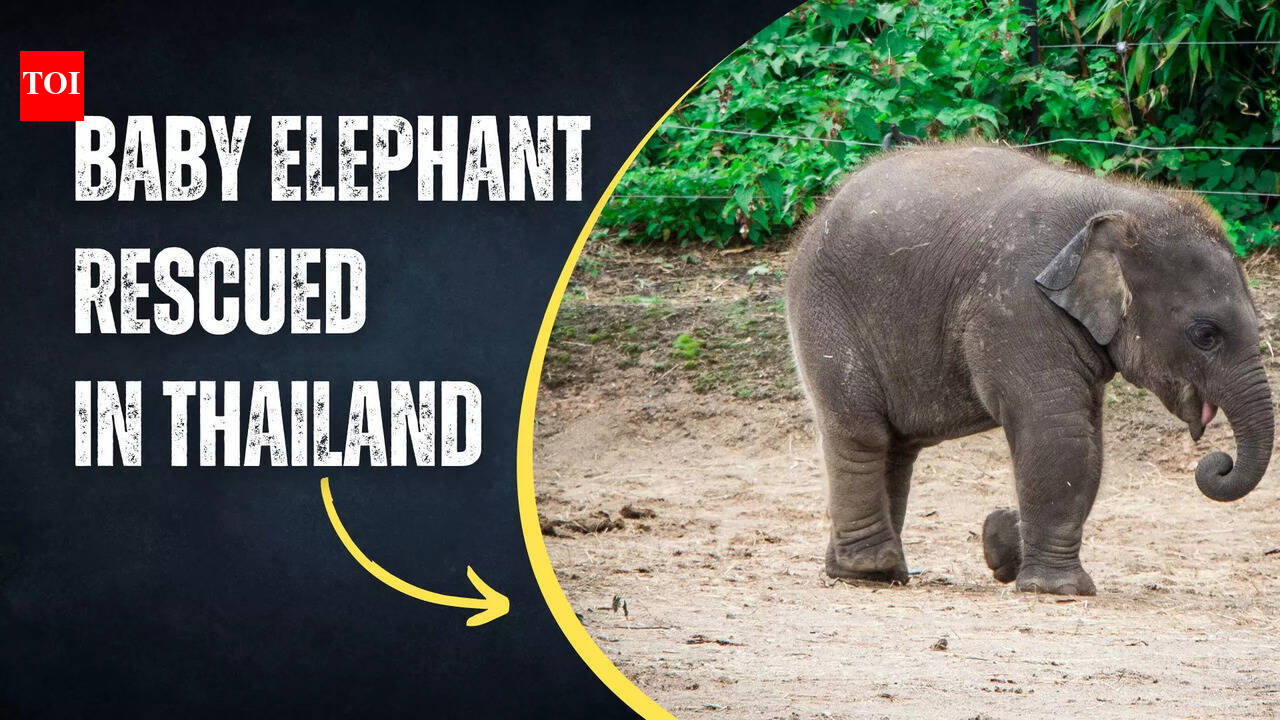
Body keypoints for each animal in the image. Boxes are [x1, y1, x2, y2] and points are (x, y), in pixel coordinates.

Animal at [785, 144, 1274, 595]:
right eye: (1205, 334)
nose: (1218, 462)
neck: (1121, 204)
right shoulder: (1018, 305)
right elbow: (1058, 430)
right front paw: (1059, 589)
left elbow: (1088, 442)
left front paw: (1002, 543)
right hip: (825, 314)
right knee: (862, 433)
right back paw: (871, 572)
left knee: (898, 447)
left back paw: (867, 572)